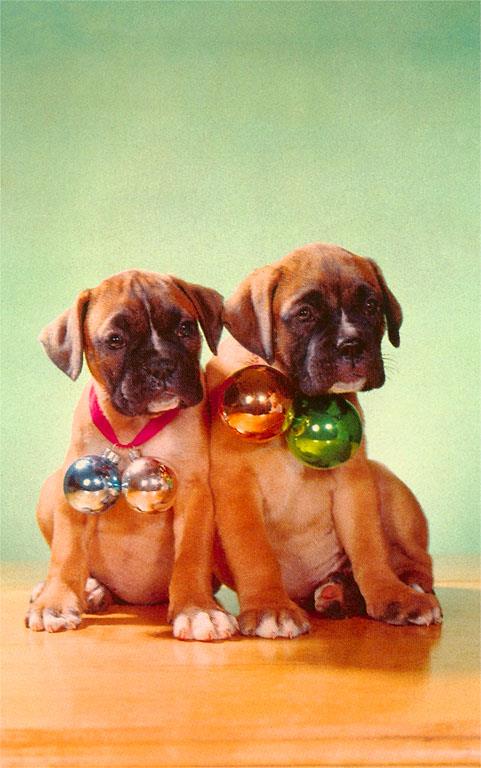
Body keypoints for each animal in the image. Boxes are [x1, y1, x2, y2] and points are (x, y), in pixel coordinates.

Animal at [26, 270, 238, 641]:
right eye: (114, 341)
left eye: (185, 328)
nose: (161, 365)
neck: (132, 430)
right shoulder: (73, 487)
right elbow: (66, 553)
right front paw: (54, 602)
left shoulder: (194, 494)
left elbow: (191, 554)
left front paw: (198, 610)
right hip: (50, 489)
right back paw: (84, 589)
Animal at [207, 243, 442, 638]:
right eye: (304, 314)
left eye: (371, 306)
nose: (352, 345)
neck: (296, 396)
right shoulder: (237, 489)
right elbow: (255, 553)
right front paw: (270, 607)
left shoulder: (353, 483)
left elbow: (369, 547)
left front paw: (390, 596)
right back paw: (336, 593)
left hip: (385, 483)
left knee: (418, 562)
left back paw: (402, 588)